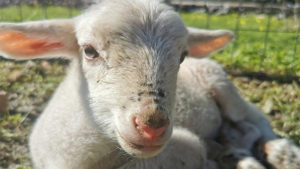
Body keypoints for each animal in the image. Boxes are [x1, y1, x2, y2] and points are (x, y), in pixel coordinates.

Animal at [0, 0, 300, 168]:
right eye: (89, 51)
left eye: (182, 55)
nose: (152, 125)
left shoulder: (180, 149)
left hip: (221, 84)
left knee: (256, 119)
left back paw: (281, 152)